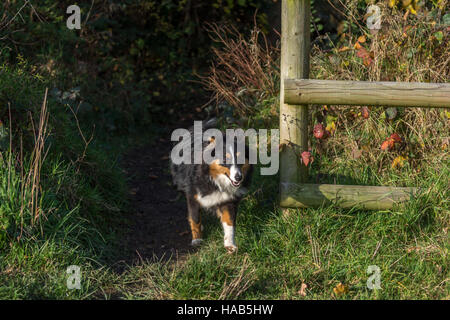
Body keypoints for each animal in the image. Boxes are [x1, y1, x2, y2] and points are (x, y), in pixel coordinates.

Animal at [170, 119, 251, 251]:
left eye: (240, 158)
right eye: (225, 160)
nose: (239, 177)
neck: (213, 178)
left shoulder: (228, 199)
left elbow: (229, 221)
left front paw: (230, 245)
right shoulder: (193, 195)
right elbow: (195, 217)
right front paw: (197, 239)